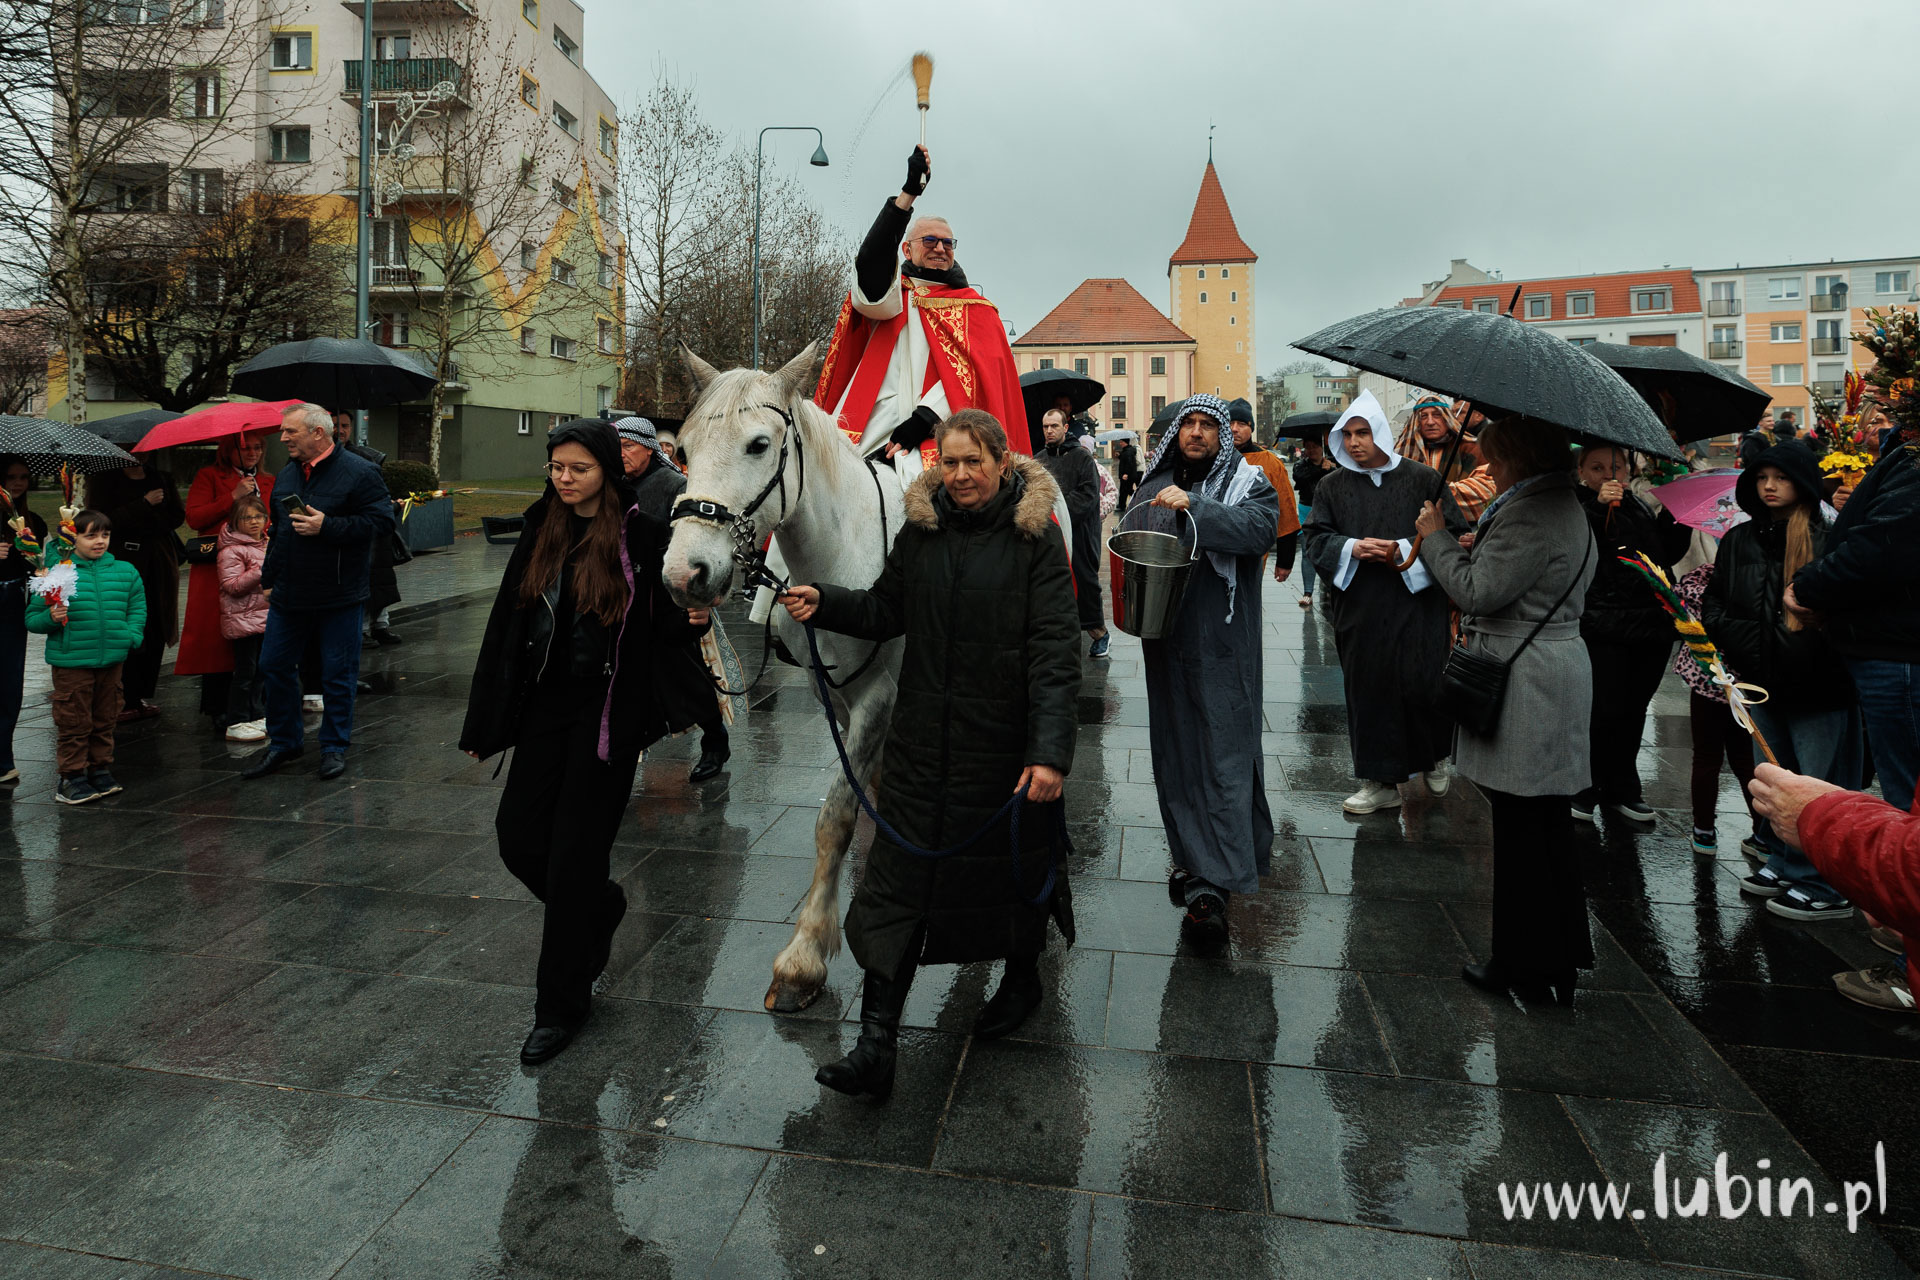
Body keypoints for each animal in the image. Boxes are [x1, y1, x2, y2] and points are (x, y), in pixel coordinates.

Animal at [661, 342, 905, 1014]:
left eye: (759, 444)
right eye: (683, 449)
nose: (684, 573)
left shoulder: (880, 694)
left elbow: (836, 816)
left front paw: (803, 957)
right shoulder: (837, 694)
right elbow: (853, 797)